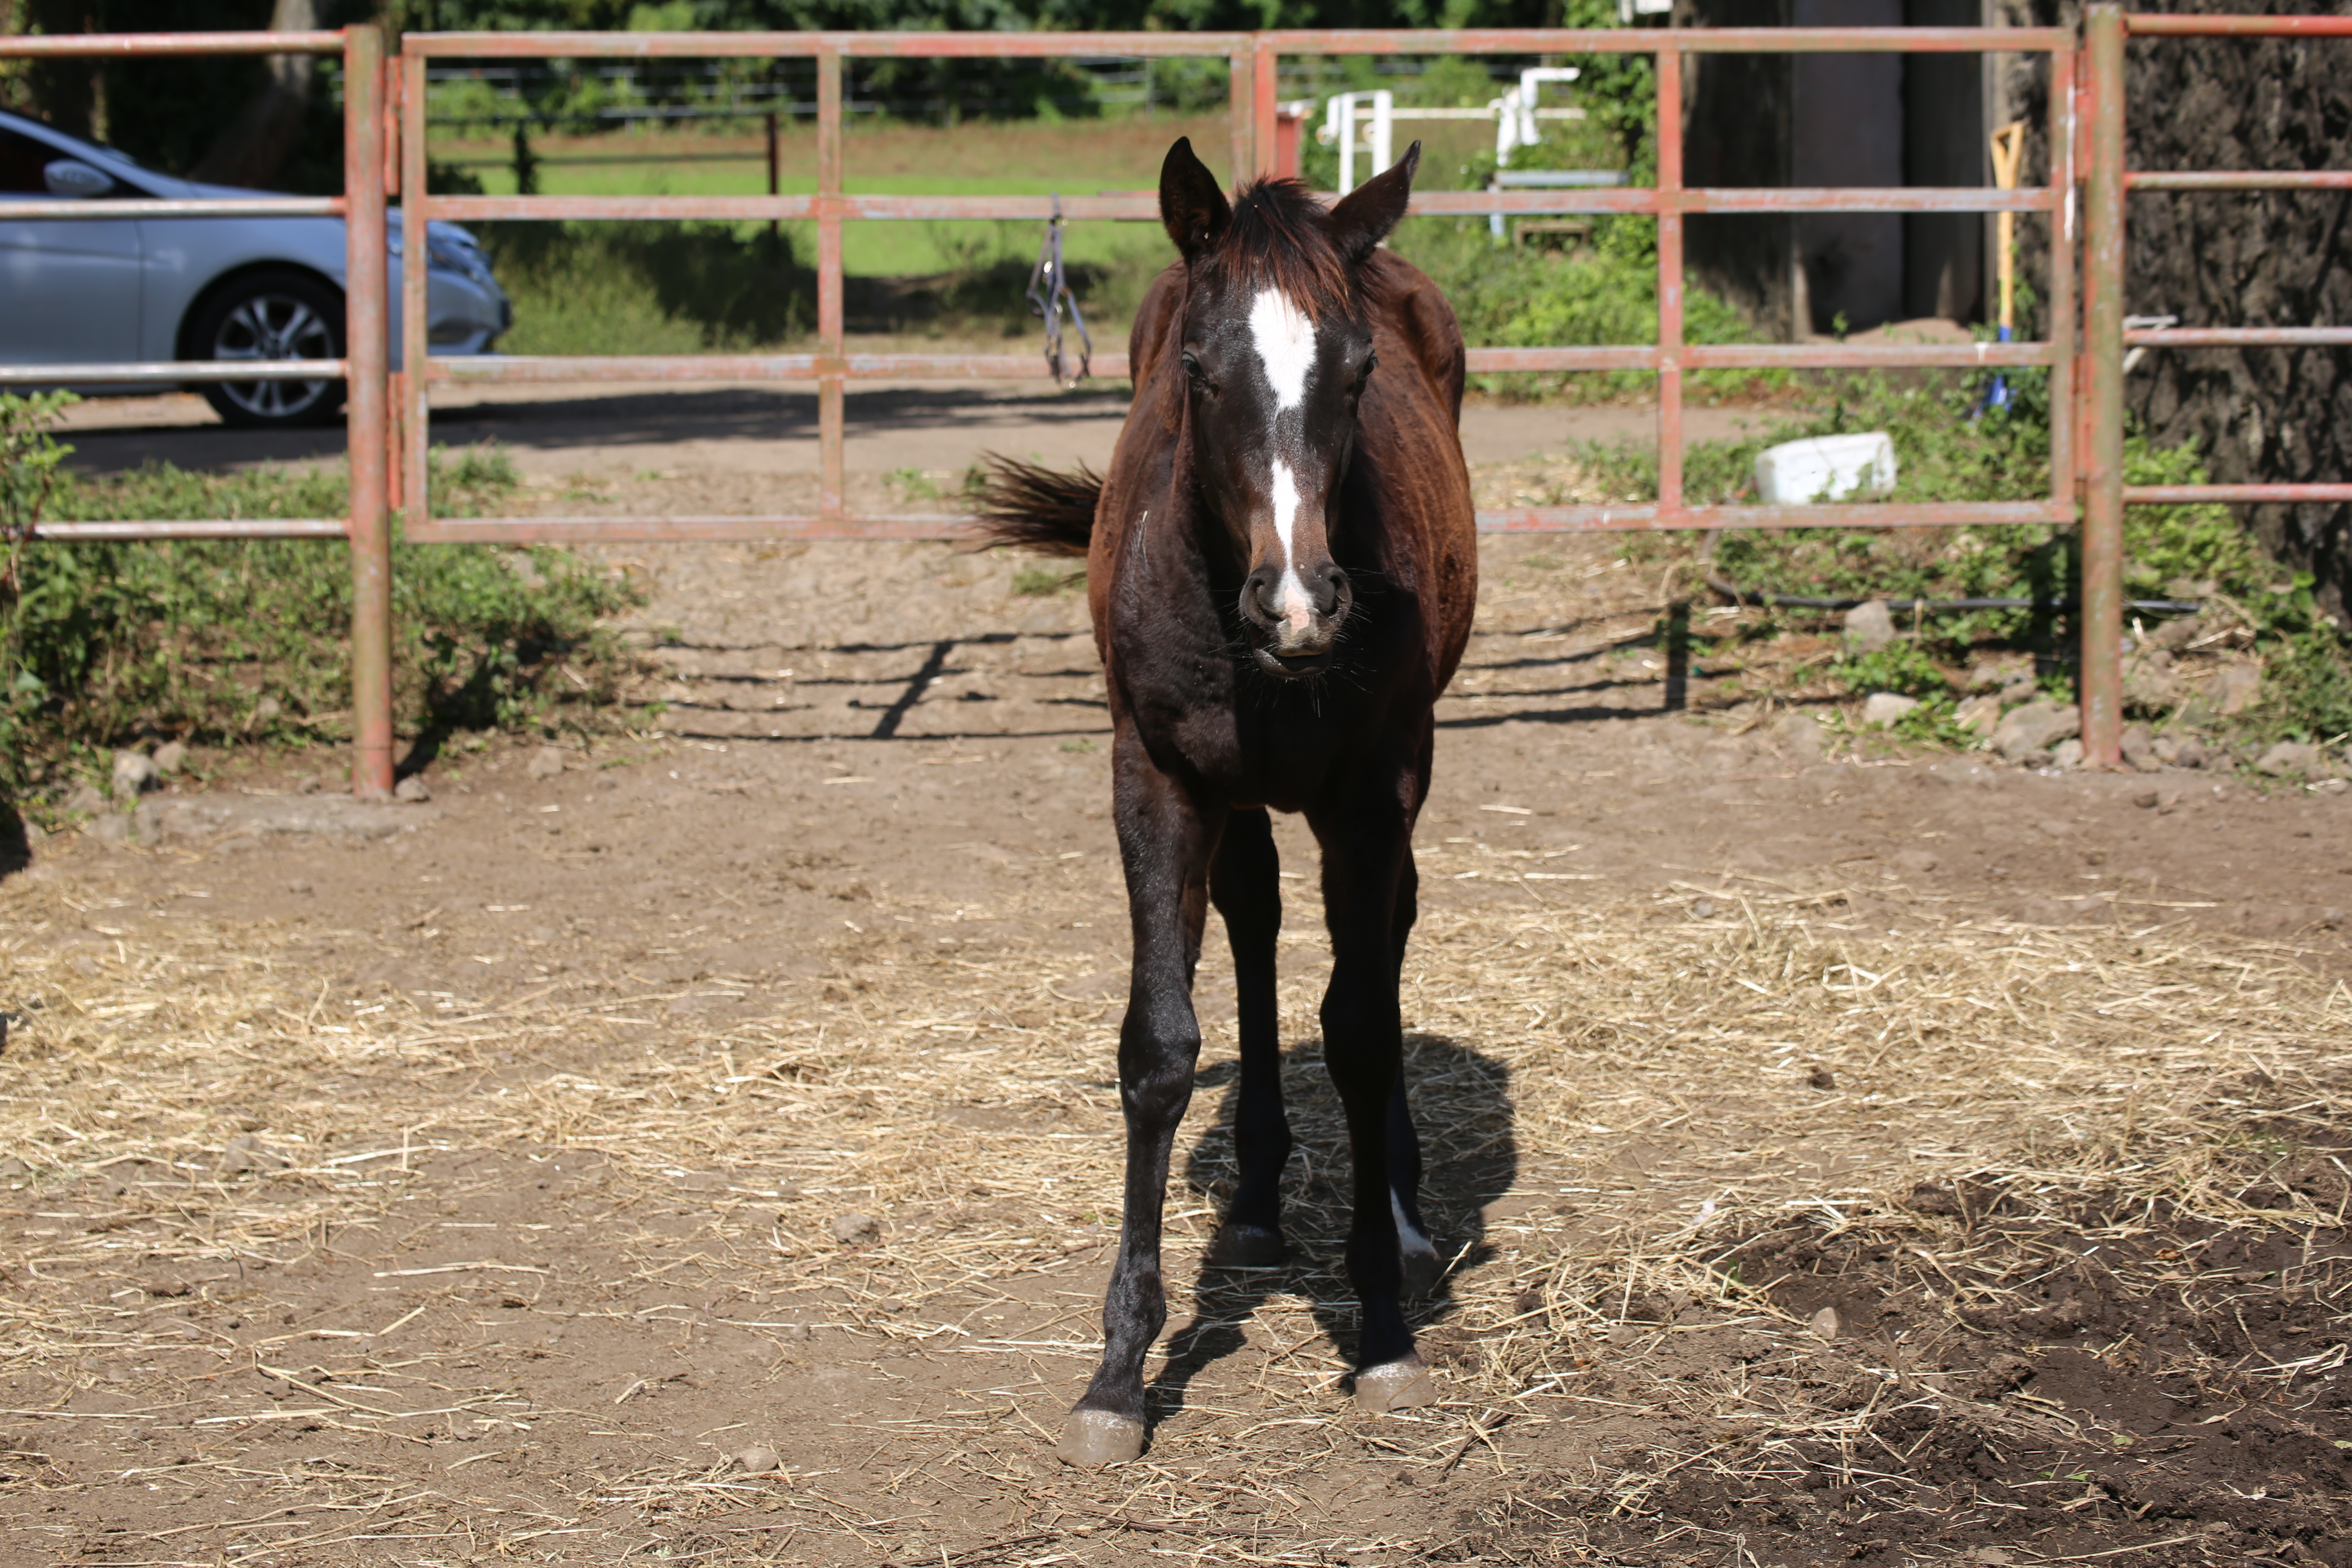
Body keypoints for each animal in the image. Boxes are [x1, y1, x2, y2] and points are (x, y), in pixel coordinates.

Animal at [983, 138, 1477, 1476]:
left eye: (1359, 371)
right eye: (1199, 373)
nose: (1300, 601)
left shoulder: (1374, 787)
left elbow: (1359, 1026)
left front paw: (1382, 1323)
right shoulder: (1156, 779)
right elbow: (1158, 1048)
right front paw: (1117, 1372)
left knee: (1382, 942)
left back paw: (1403, 1215)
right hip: (1236, 797)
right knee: (1253, 921)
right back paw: (1254, 1200)